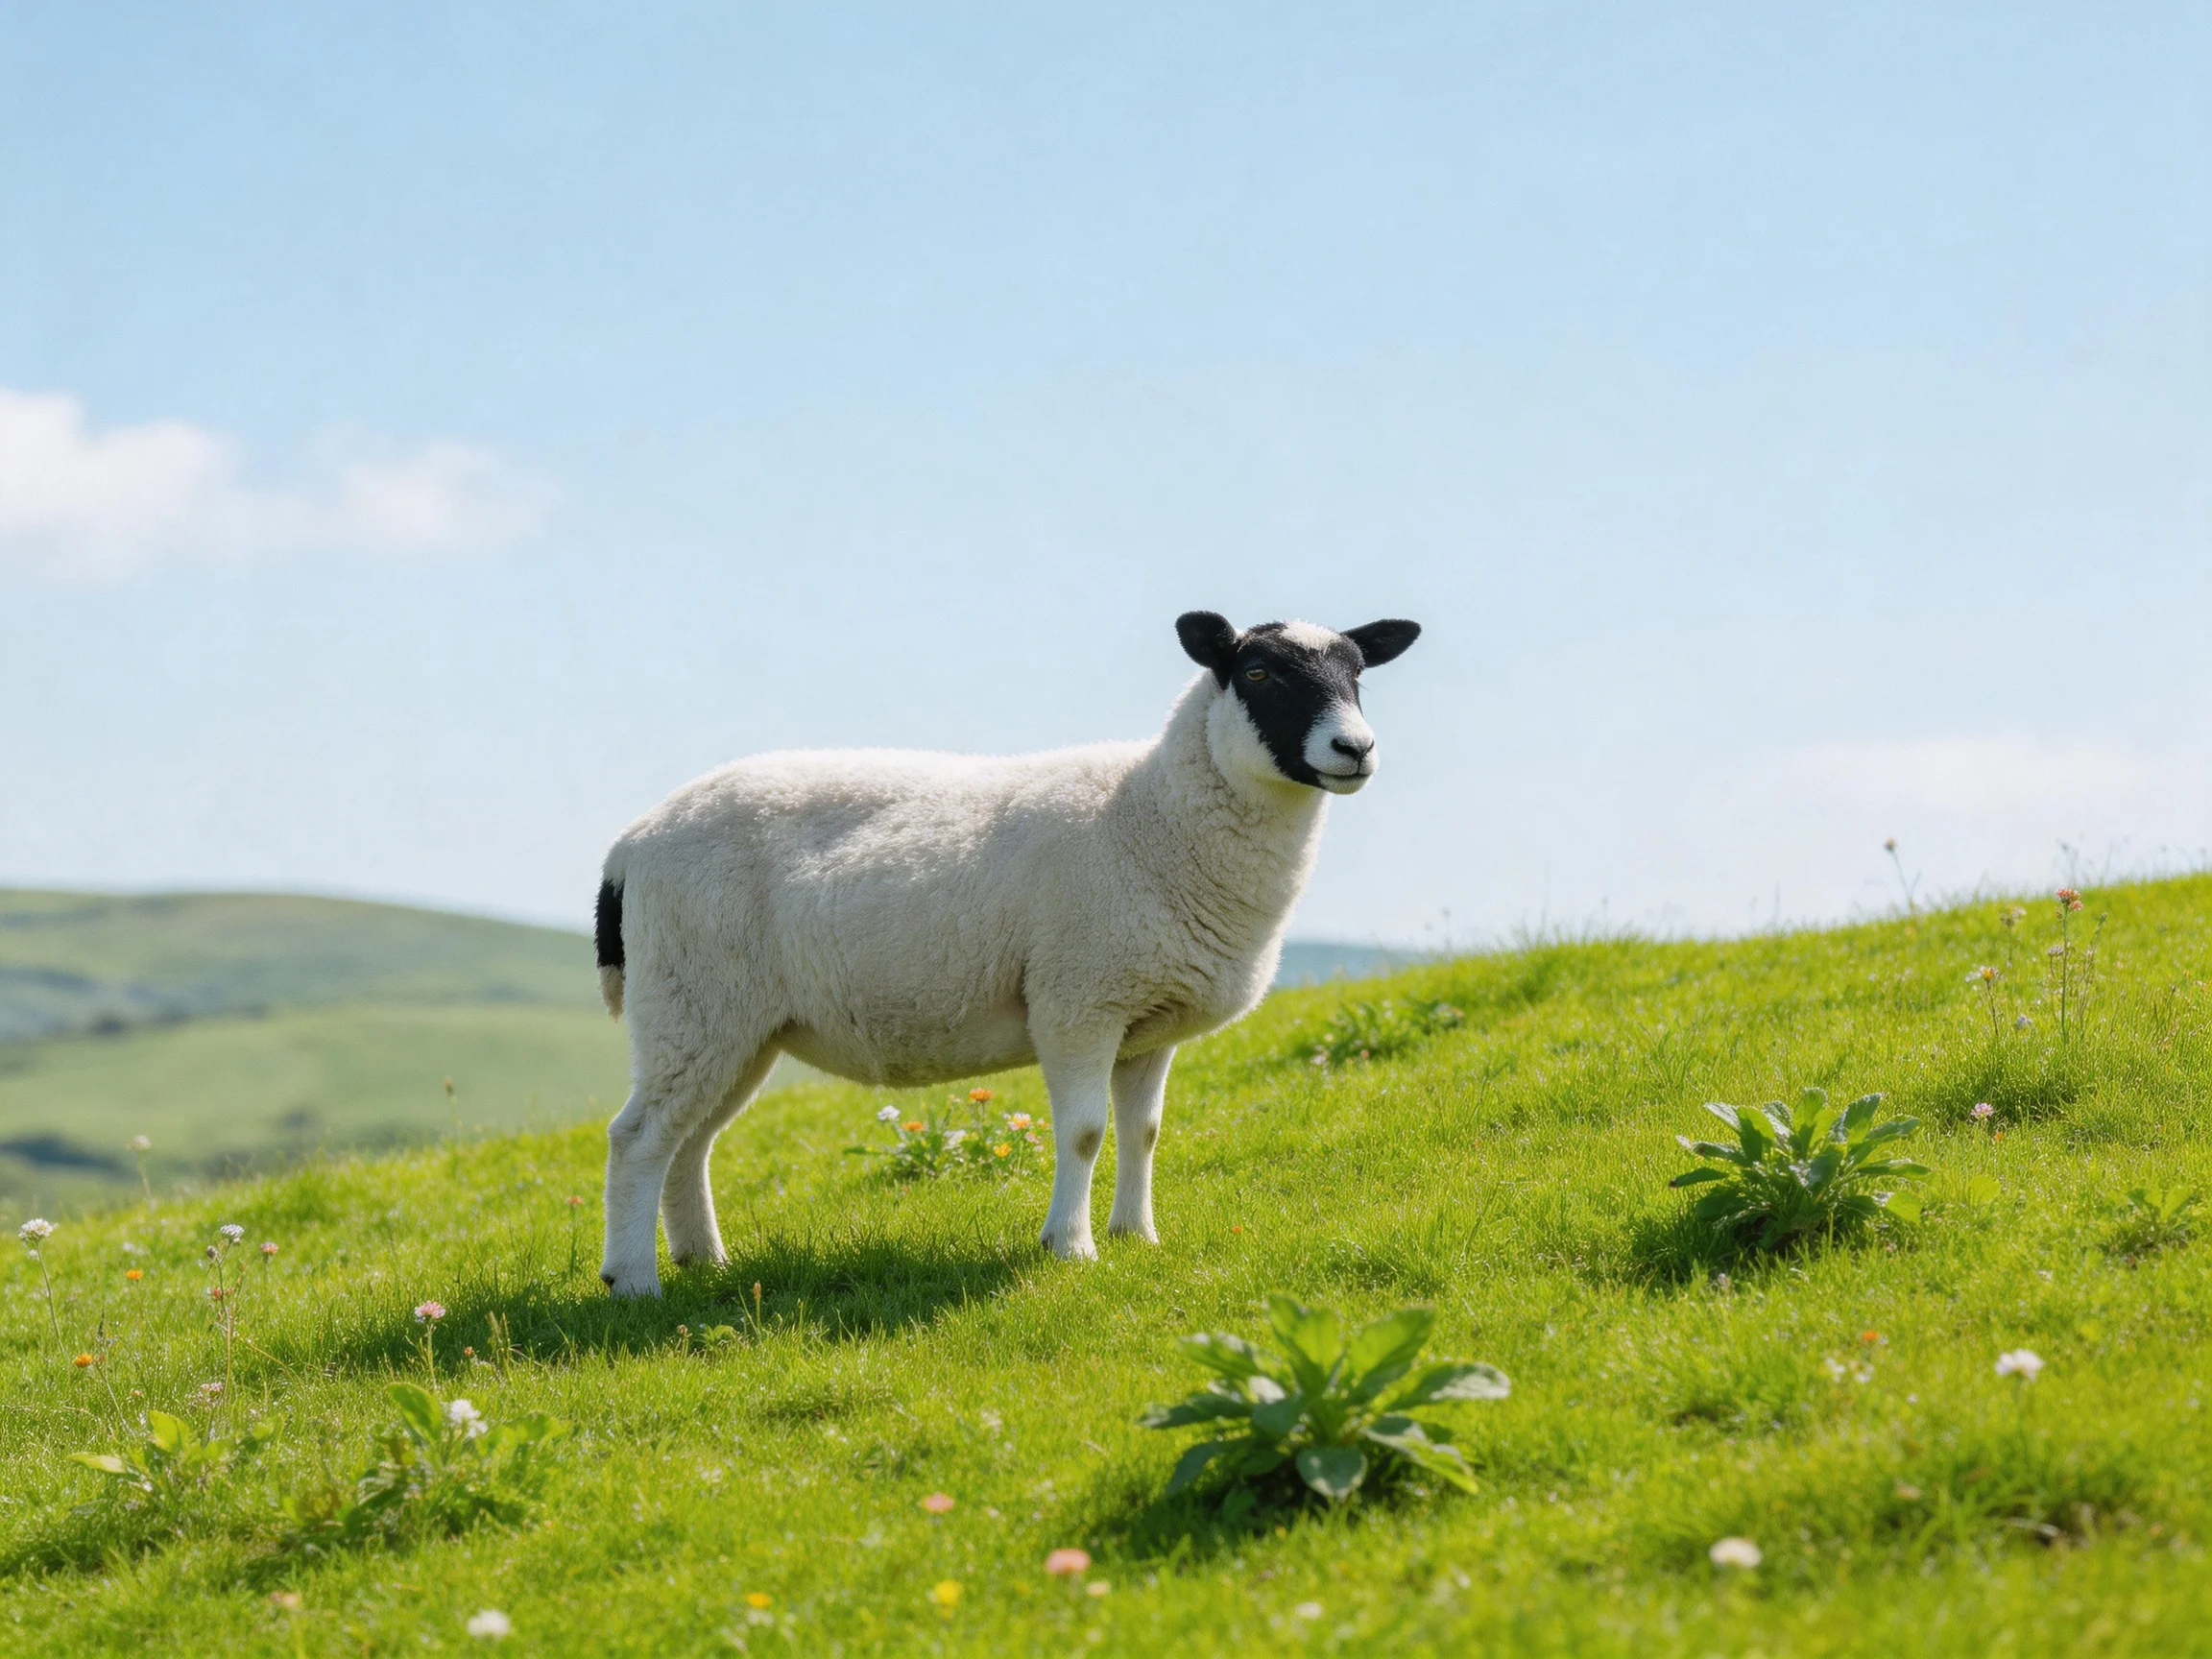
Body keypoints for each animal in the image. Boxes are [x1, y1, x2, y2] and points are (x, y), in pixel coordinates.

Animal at [592, 609, 1421, 1296]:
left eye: (1358, 676)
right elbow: (1085, 1133)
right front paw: (1070, 1248)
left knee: (690, 1144)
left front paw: (1138, 1237)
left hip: (734, 1023)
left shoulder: (1147, 1020)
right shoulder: (1078, 1001)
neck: (1151, 814)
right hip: (694, 999)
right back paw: (634, 1283)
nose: (1355, 749)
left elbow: (1144, 1132)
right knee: (639, 1139)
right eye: (1258, 674)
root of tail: (630, 845)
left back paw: (704, 1261)